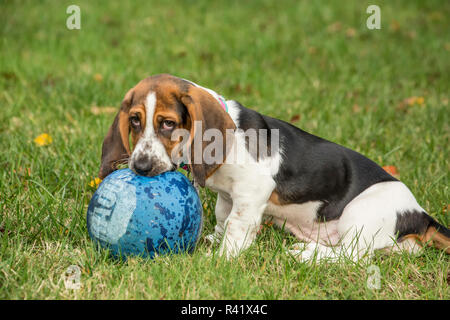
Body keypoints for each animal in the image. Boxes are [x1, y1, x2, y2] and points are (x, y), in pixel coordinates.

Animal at [99, 74, 450, 262]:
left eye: (168, 123)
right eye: (135, 120)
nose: (141, 167)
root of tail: (421, 215)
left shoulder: (252, 191)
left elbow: (236, 226)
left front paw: (220, 258)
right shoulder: (228, 196)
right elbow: (223, 218)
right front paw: (214, 239)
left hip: (360, 212)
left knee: (353, 257)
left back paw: (304, 255)